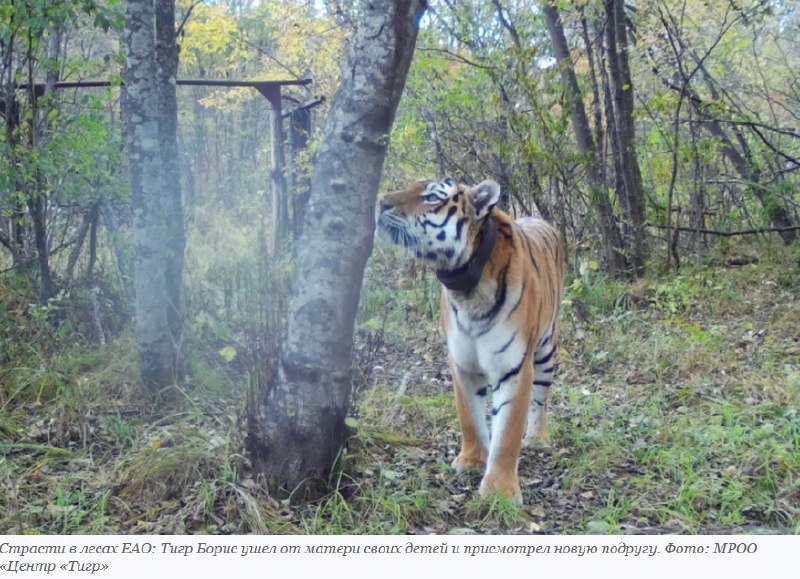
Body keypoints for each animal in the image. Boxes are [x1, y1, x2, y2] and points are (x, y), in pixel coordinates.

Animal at [374, 178, 564, 502]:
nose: (380, 202)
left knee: (541, 397)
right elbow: (470, 418)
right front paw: (472, 461)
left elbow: (508, 432)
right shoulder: (462, 364)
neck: (465, 288)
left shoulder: (513, 367)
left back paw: (537, 437)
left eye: (431, 197)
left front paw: (499, 490)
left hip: (545, 347)